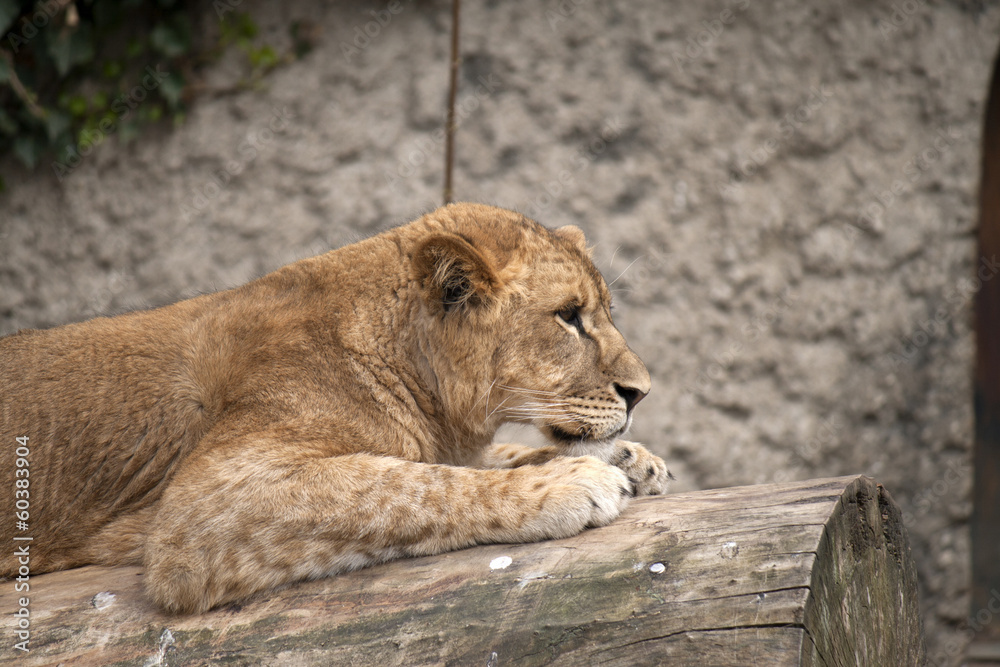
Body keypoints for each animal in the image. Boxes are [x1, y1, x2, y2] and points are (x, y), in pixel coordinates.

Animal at [0, 203, 669, 614]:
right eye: (569, 316)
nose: (642, 391)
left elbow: (466, 463)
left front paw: (631, 458)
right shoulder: (203, 508)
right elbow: (410, 485)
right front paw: (575, 481)